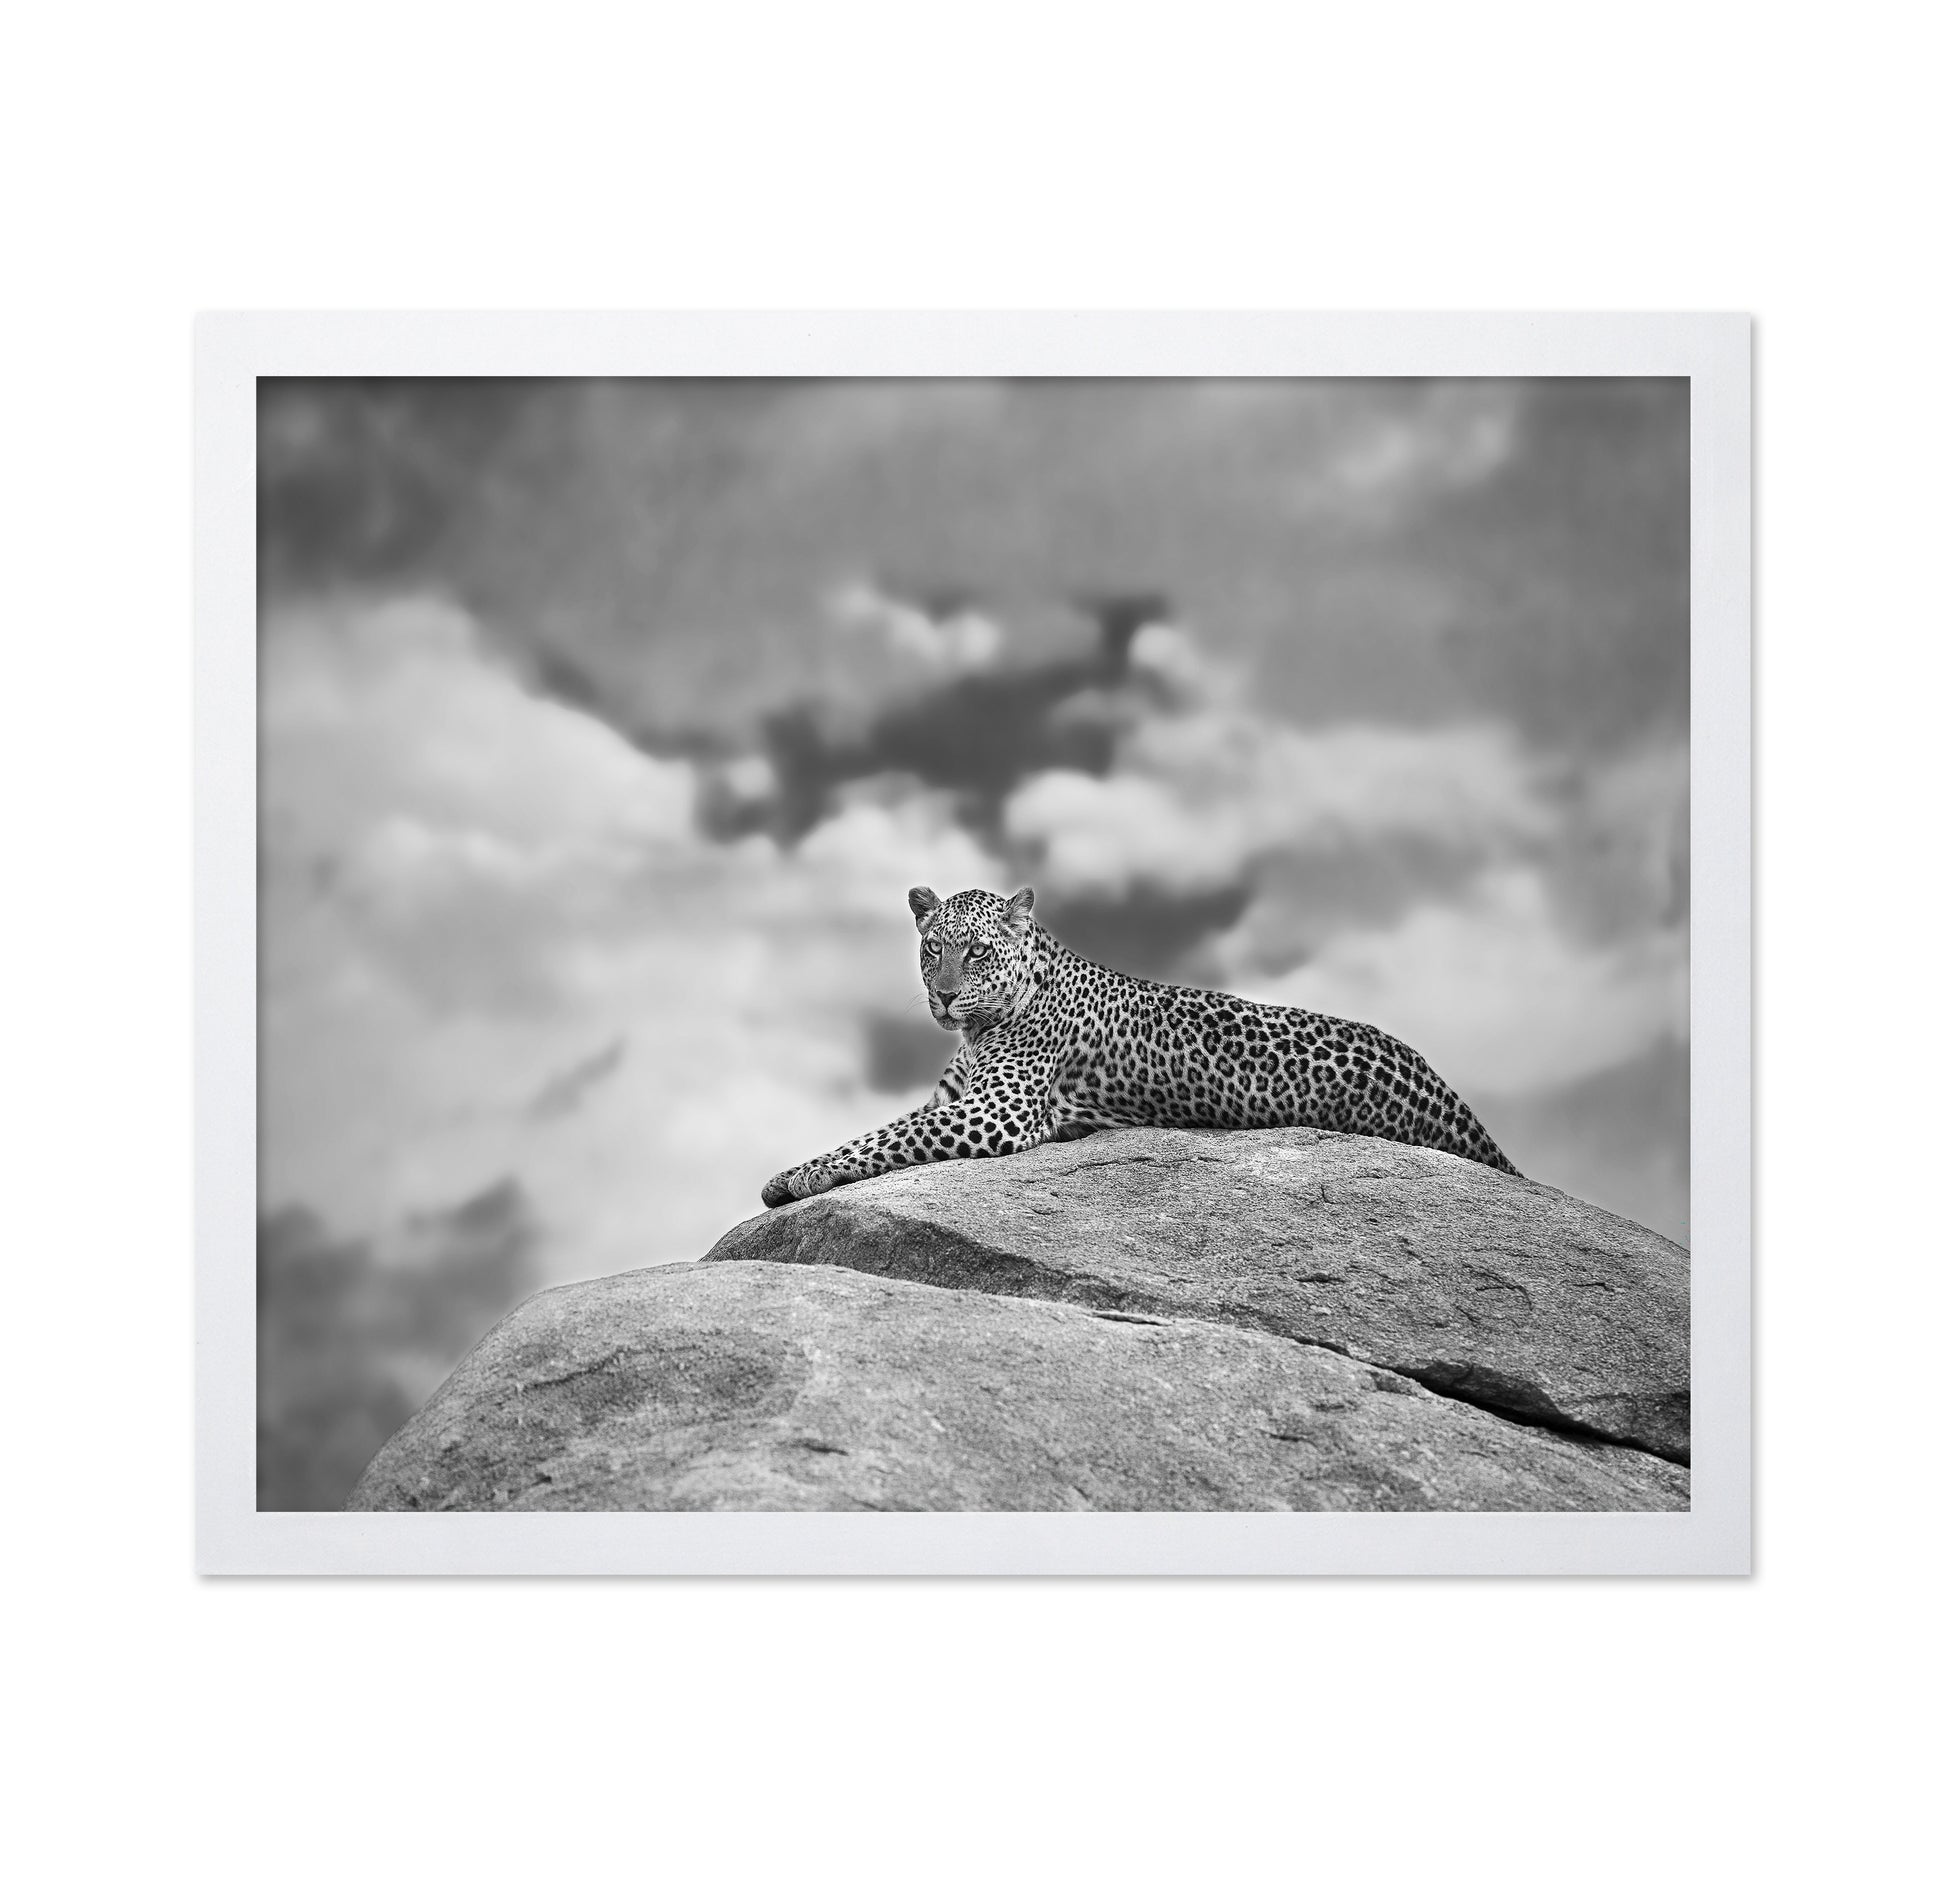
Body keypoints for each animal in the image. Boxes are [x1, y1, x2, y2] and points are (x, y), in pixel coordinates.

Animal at [761, 885, 1519, 1207]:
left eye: (976, 952)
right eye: (932, 950)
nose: (944, 997)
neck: (982, 1027)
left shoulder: (995, 1112)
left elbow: (885, 1138)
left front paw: (797, 1177)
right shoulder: (956, 1099)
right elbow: (879, 1131)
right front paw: (794, 1172)